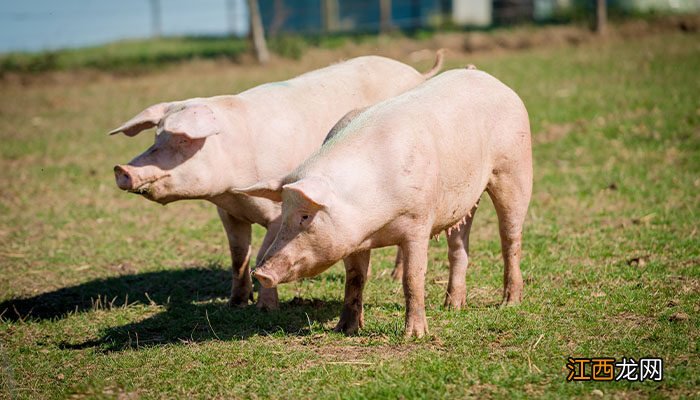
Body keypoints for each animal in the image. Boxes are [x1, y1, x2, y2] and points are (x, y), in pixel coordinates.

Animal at [112, 50, 446, 310]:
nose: (122, 170)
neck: (232, 187)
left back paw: (392, 276)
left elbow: (262, 253)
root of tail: (416, 71)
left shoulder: (276, 212)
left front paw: (266, 308)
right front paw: (236, 303)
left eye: (182, 140)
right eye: (157, 136)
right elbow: (238, 256)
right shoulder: (228, 212)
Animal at [235, 68, 532, 338]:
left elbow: (412, 278)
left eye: (306, 216)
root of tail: (488, 78)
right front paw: (344, 329)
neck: (374, 223)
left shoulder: (418, 221)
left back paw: (509, 302)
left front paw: (414, 336)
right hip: (464, 199)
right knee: (459, 246)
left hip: (514, 168)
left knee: (510, 237)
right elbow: (355, 278)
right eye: (284, 211)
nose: (261, 272)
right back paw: (452, 306)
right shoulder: (352, 238)